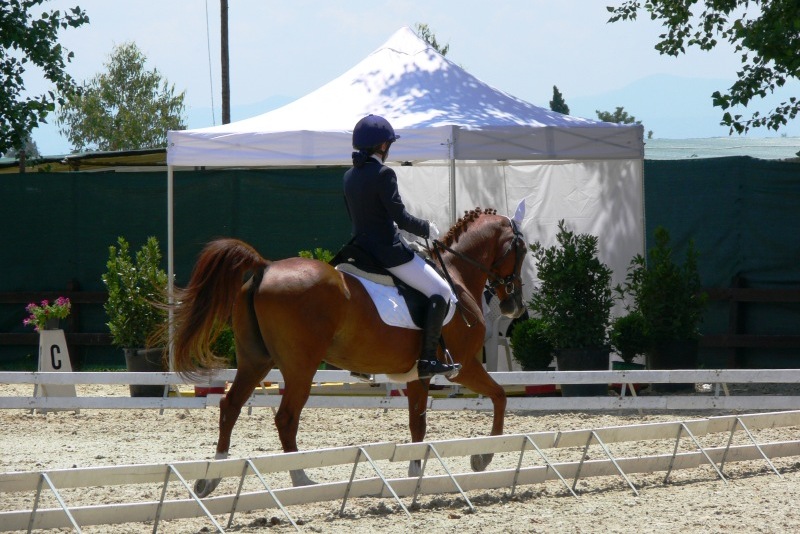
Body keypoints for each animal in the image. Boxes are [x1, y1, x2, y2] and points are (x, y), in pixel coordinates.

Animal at [172, 207, 528, 496]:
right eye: (521, 250)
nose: (515, 306)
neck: (456, 276)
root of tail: (266, 268)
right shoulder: (464, 365)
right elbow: (499, 396)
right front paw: (483, 456)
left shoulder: (419, 374)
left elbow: (418, 424)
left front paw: (415, 473)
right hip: (300, 367)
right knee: (286, 417)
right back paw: (301, 479)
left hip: (255, 360)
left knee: (230, 406)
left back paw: (211, 478)